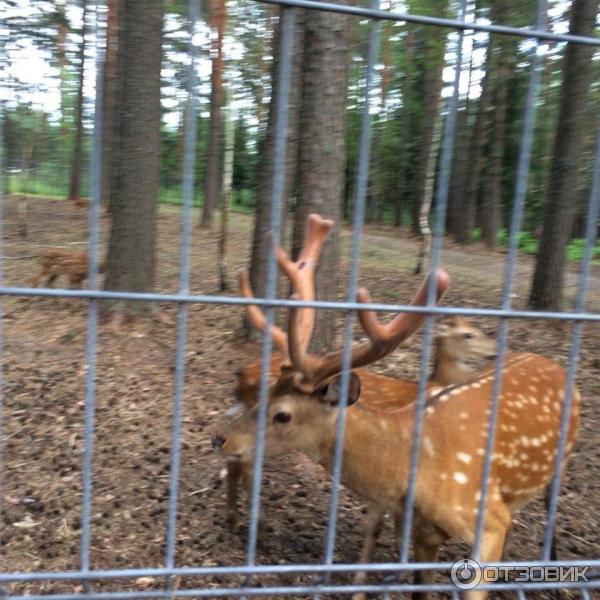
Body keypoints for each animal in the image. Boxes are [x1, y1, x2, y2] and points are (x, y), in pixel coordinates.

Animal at [213, 216, 580, 600]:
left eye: (283, 414)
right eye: (266, 394)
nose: (220, 439)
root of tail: (553, 364)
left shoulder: (488, 519)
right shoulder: (419, 531)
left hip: (558, 464)